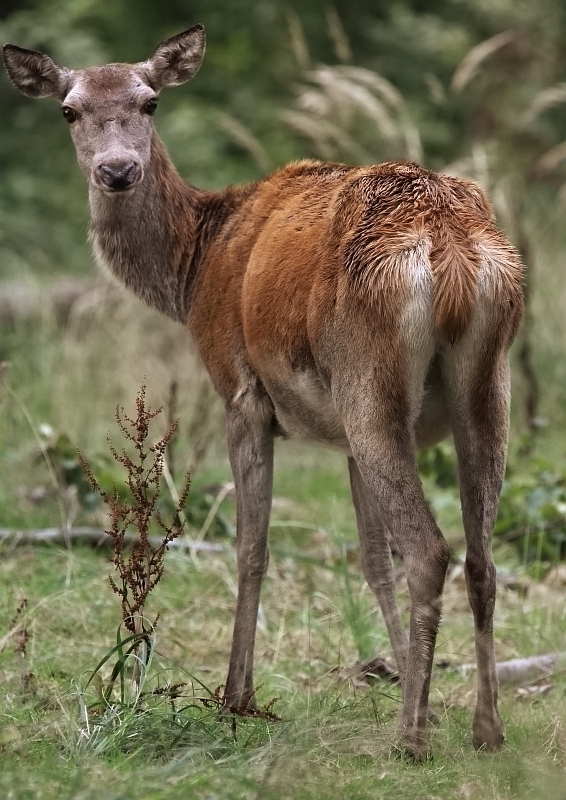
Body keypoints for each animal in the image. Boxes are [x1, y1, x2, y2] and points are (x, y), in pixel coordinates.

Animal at [2, 26, 524, 764]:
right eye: (69, 110)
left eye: (150, 101)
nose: (117, 170)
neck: (195, 270)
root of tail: (452, 253)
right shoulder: (339, 437)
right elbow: (371, 558)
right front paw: (400, 676)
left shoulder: (240, 393)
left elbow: (253, 547)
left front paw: (235, 696)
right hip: (484, 386)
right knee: (481, 557)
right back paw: (484, 728)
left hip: (369, 379)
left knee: (431, 551)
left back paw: (412, 740)